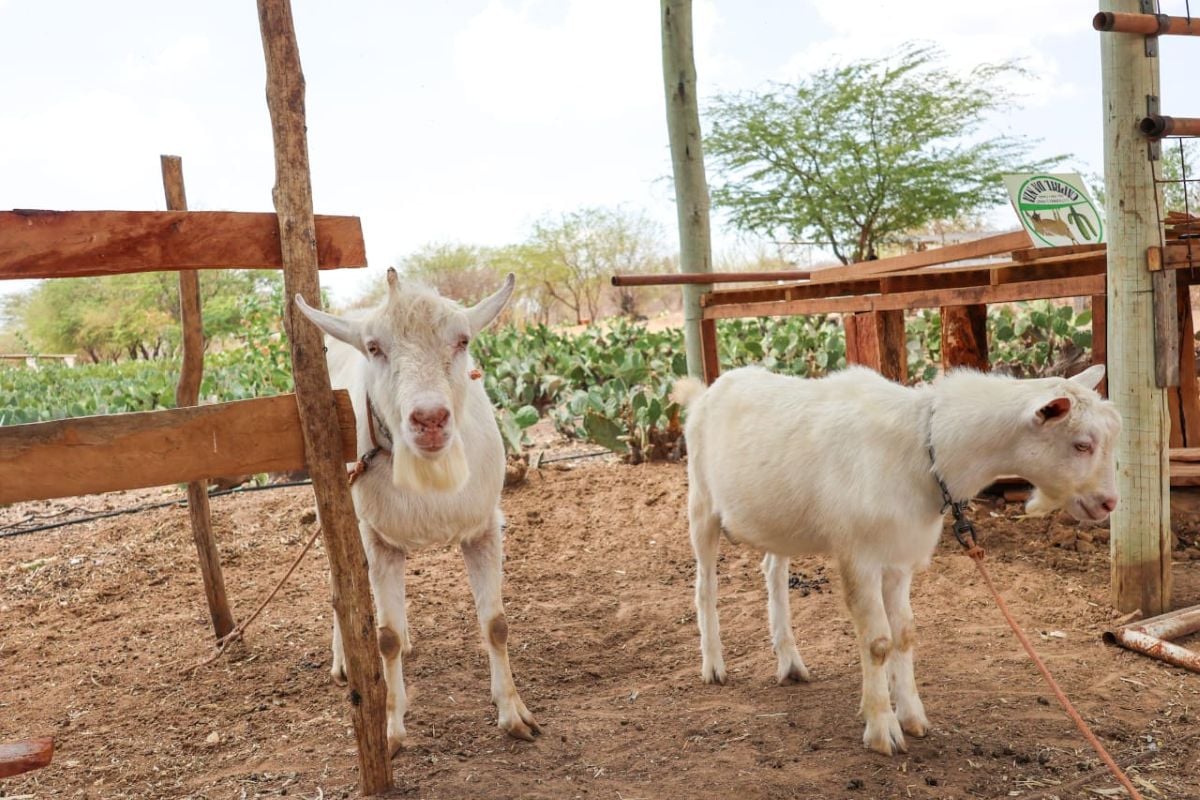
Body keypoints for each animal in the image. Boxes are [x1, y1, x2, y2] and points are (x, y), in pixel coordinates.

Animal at [294, 269, 539, 755]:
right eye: (374, 347)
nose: (429, 419)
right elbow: (384, 639)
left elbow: (497, 625)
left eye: (463, 341)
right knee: (339, 581)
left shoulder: (485, 527)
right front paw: (390, 728)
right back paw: (344, 659)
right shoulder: (375, 536)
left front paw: (513, 714)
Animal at [673, 364, 1119, 756]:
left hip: (777, 522)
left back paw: (791, 663)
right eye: (1082, 444)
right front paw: (881, 729)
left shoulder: (899, 558)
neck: (924, 448)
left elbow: (904, 634)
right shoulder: (860, 556)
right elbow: (878, 642)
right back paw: (713, 665)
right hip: (701, 502)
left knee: (773, 572)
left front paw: (911, 715)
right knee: (705, 586)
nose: (1108, 503)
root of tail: (705, 394)